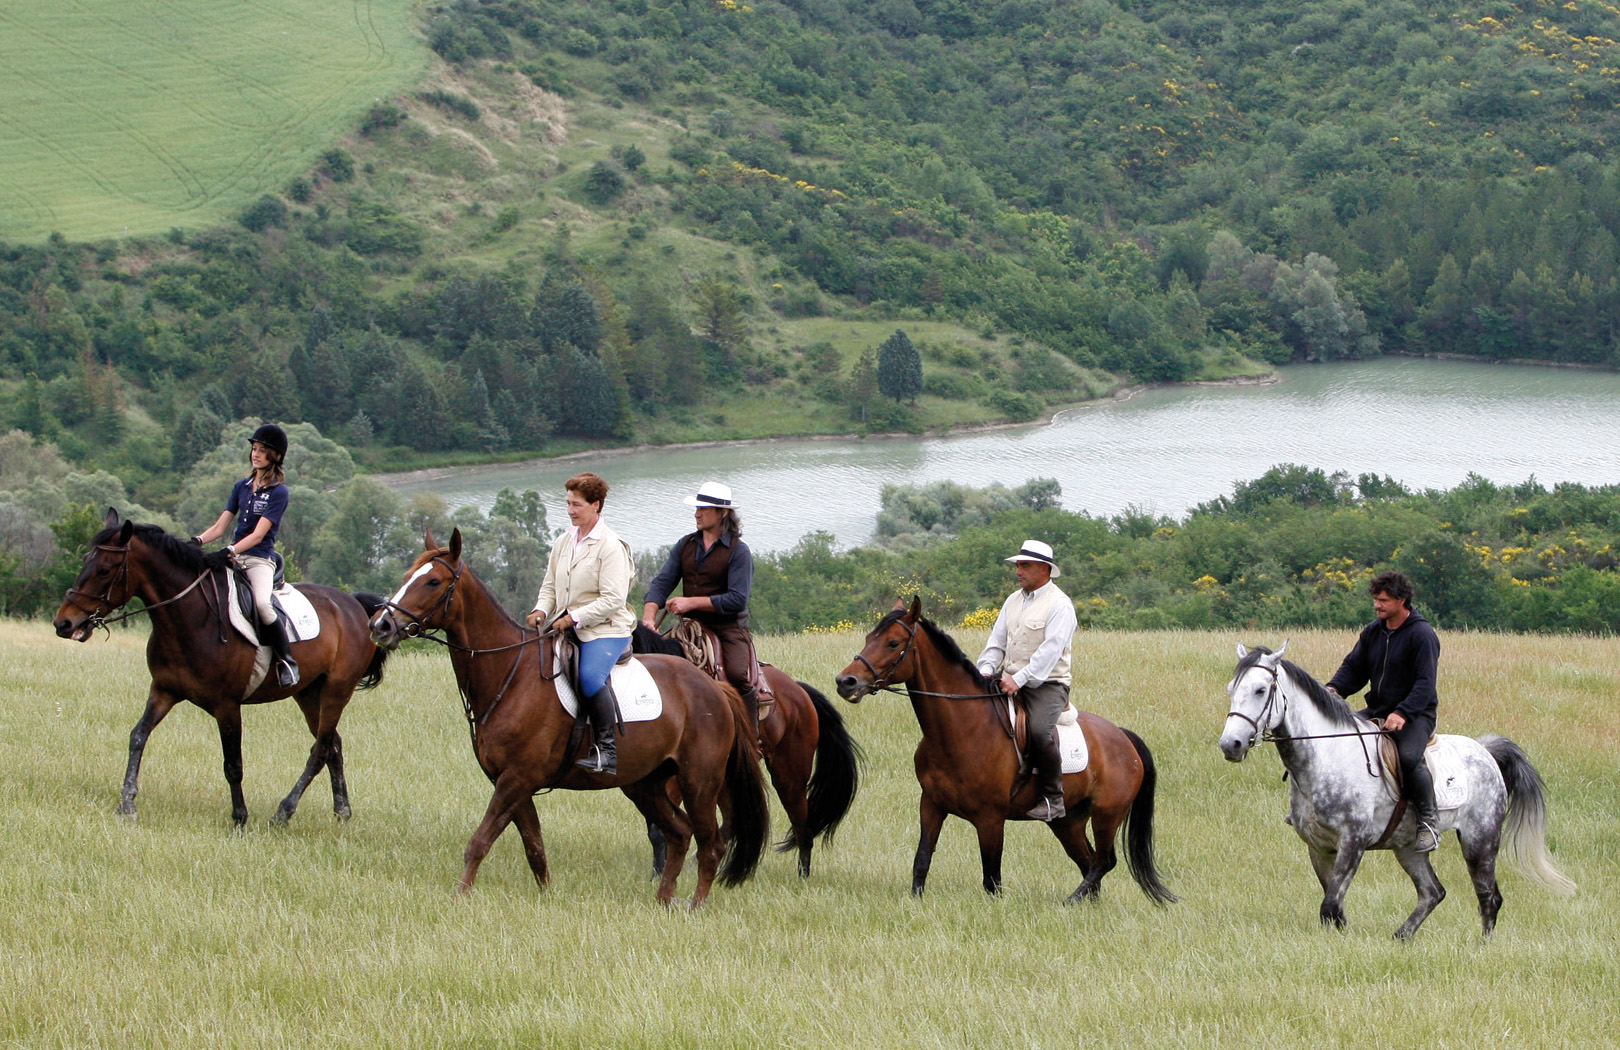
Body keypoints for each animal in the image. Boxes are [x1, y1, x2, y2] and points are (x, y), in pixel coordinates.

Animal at [52, 509, 389, 827]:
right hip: (308, 693)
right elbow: (138, 736)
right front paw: (127, 803)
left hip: (336, 690)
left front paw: (239, 818)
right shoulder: (164, 690)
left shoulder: (227, 706)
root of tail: (354, 606)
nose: (63, 623)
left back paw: (283, 812)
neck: (189, 618)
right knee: (332, 744)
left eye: (104, 570)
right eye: (85, 561)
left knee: (320, 749)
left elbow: (233, 765)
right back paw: (342, 811)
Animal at [367, 530, 769, 908]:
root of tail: (714, 688)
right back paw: (664, 900)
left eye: (433, 582)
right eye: (408, 576)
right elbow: (534, 848)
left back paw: (693, 906)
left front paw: (460, 897)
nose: (380, 626)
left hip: (699, 781)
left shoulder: (516, 779)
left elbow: (480, 841)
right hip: (645, 784)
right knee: (679, 833)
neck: (510, 674)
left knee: (710, 844)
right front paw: (546, 897)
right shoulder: (514, 783)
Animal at [632, 622, 862, 879]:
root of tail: (800, 693)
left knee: (802, 825)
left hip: (789, 775)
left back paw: (803, 876)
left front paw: (659, 873)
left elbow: (661, 827)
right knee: (733, 819)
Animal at [835, 597, 1177, 905]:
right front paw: (915, 903)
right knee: (1089, 861)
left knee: (1103, 861)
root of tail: (1123, 738)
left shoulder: (990, 818)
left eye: (893, 643)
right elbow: (922, 860)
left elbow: (992, 879)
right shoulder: (930, 805)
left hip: (1107, 814)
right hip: (1067, 822)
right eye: (869, 639)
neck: (962, 729)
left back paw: (1070, 901)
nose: (845, 681)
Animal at [1221, 642, 1577, 939]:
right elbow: (1332, 906)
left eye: (1260, 689)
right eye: (1232, 689)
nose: (1230, 745)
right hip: (1409, 848)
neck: (1327, 757)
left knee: (1488, 896)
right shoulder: (1319, 846)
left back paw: (1482, 947)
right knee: (1433, 892)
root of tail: (1486, 751)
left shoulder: (1353, 841)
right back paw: (1401, 937)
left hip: (1481, 840)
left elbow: (1331, 904)